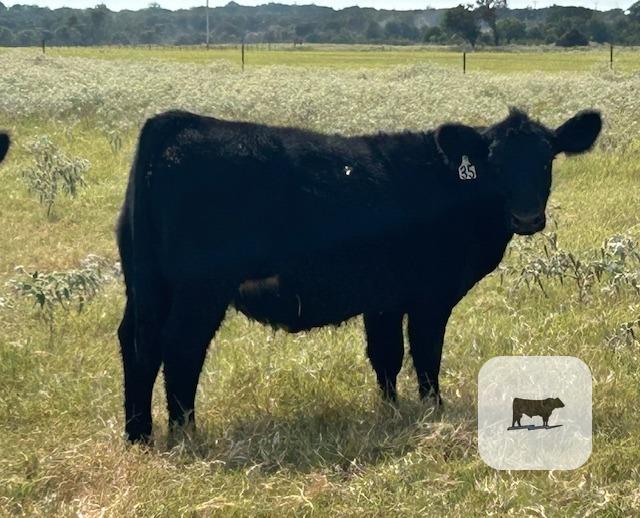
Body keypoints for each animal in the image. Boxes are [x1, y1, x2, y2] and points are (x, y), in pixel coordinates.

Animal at [116, 108, 601, 443]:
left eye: (546, 161)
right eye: (495, 164)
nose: (527, 217)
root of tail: (176, 121)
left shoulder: (383, 298)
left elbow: (386, 357)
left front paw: (391, 411)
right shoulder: (430, 296)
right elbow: (425, 354)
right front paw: (435, 410)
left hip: (146, 286)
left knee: (137, 344)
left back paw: (139, 435)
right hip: (201, 289)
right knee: (180, 347)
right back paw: (186, 433)